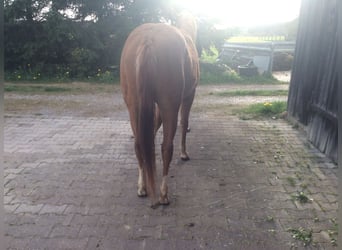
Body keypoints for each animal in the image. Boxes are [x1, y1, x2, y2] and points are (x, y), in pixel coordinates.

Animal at [120, 13, 200, 207]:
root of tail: (148, 39)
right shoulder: (188, 96)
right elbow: (184, 122)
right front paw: (184, 153)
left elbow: (154, 126)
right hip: (170, 104)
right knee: (166, 148)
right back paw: (163, 194)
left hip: (134, 106)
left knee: (139, 144)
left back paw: (142, 187)